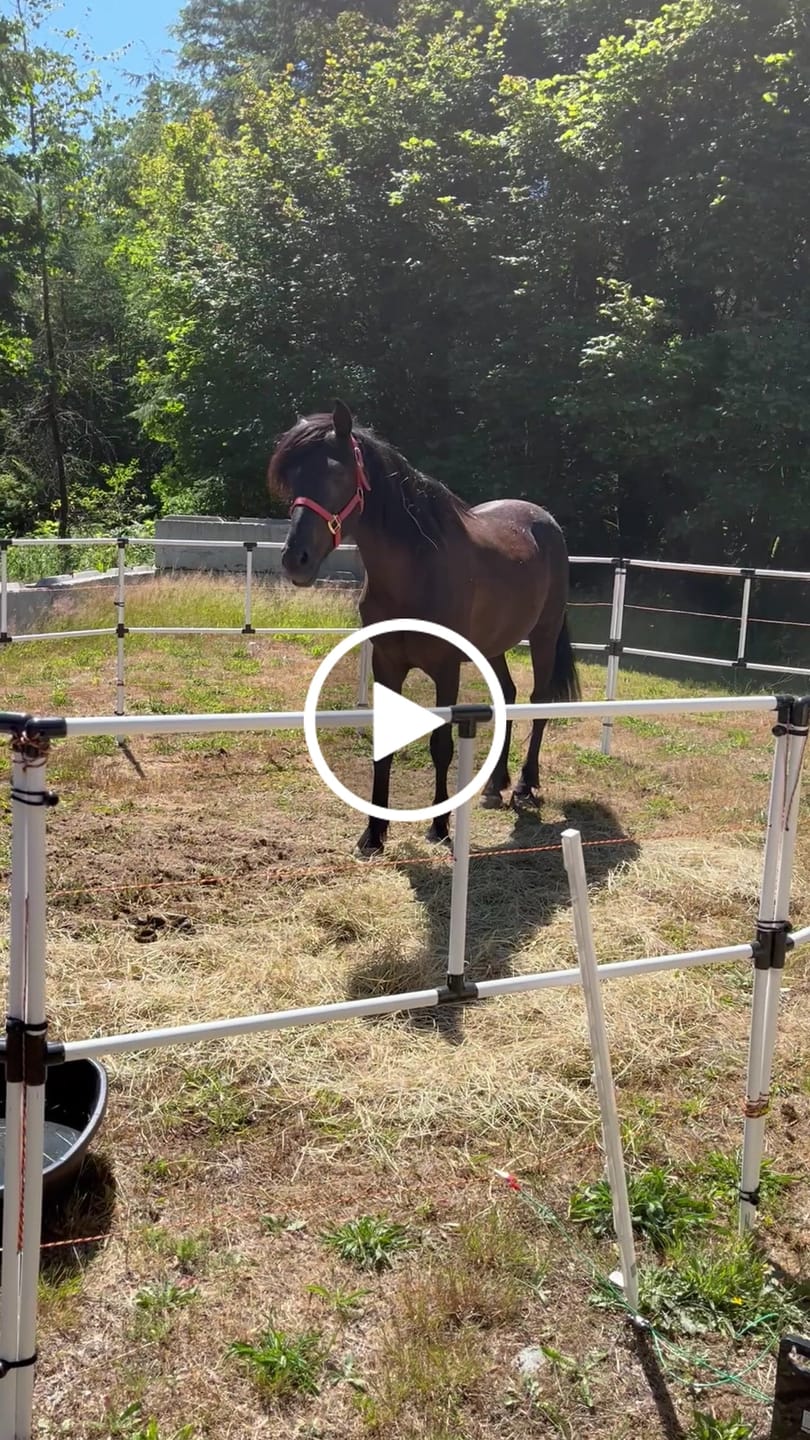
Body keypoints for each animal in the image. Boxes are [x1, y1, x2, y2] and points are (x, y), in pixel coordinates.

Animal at [269, 400, 580, 855]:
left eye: (336, 473)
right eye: (291, 478)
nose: (297, 559)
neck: (416, 570)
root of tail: (547, 522)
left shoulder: (446, 667)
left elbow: (441, 746)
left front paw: (439, 827)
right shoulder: (386, 663)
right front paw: (373, 834)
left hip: (542, 635)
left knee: (540, 702)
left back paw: (524, 785)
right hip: (494, 646)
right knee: (507, 693)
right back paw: (494, 786)